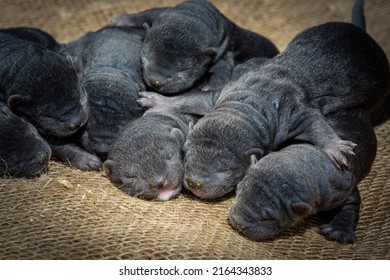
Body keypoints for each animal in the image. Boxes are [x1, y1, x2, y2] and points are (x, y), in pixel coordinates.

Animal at [229, 108, 378, 244]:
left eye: (268, 216)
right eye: (237, 192)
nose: (237, 222)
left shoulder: (343, 185)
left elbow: (351, 203)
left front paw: (339, 231)